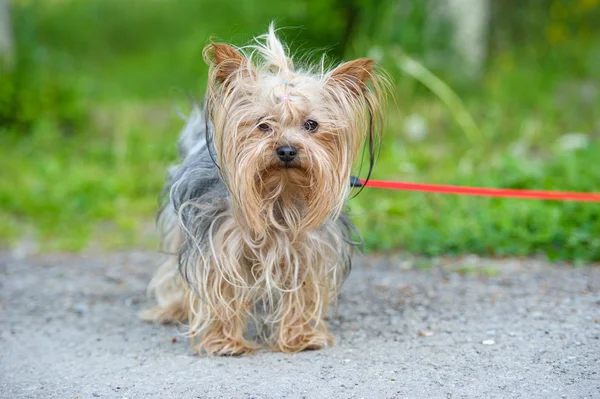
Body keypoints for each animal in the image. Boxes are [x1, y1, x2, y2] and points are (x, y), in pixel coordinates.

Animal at [142, 25, 390, 356]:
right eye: (262, 125)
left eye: (311, 124)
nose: (286, 150)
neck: (279, 193)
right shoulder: (218, 240)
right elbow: (219, 286)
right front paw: (225, 341)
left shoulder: (307, 248)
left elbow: (302, 289)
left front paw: (299, 337)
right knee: (172, 265)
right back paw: (172, 308)